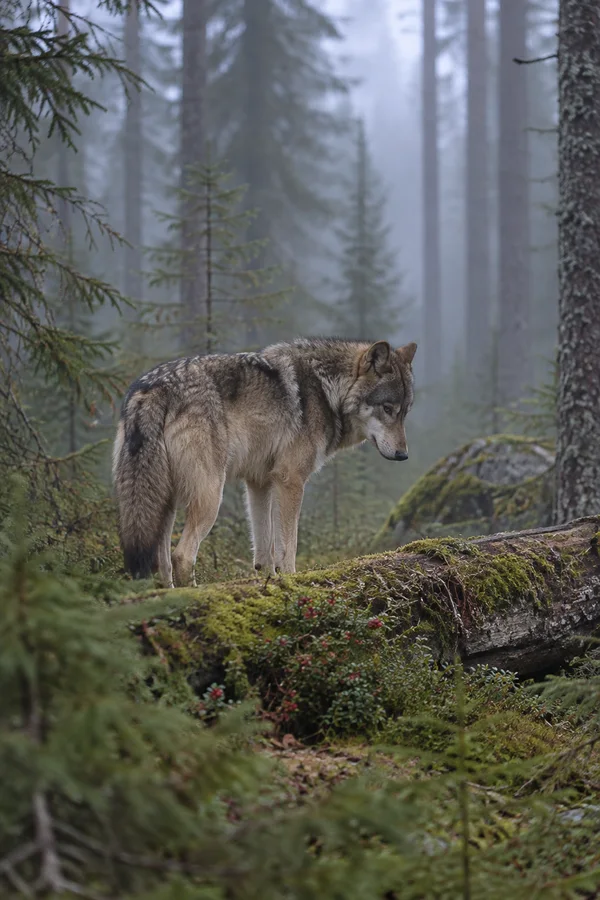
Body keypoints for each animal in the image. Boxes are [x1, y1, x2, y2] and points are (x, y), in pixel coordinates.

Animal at [113, 337, 417, 587]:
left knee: (160, 561)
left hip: (165, 499)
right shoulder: (290, 479)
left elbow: (265, 548)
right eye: (387, 409)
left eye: (405, 412)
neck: (326, 391)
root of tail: (153, 388)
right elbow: (288, 545)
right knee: (182, 556)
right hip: (210, 495)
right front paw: (291, 580)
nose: (404, 455)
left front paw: (269, 580)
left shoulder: (259, 483)